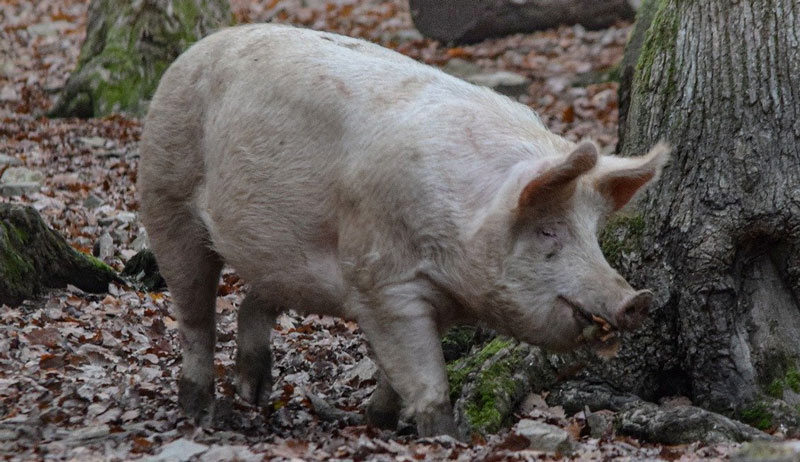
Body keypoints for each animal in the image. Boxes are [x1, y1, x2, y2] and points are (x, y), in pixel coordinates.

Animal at [138, 23, 668, 438]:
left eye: (593, 233)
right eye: (548, 232)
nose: (636, 299)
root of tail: (190, 53)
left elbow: (398, 371)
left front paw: (380, 422)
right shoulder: (383, 282)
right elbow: (423, 373)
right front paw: (445, 438)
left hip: (283, 258)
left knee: (255, 300)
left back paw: (254, 394)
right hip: (165, 195)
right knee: (196, 314)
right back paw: (203, 412)